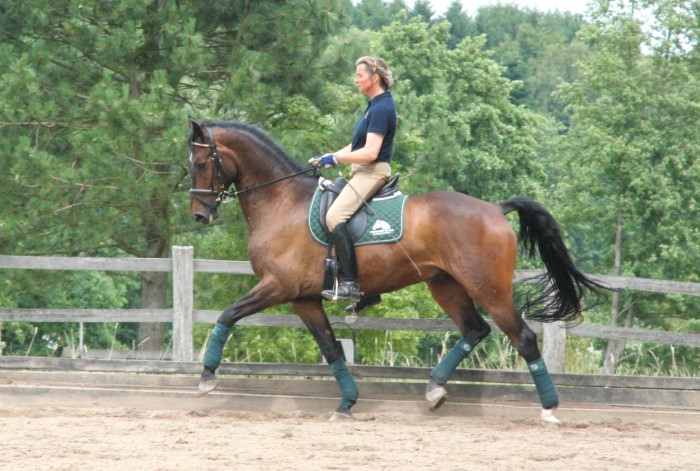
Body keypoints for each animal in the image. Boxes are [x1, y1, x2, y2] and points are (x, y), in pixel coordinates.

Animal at [189, 117, 604, 424]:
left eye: (200, 164)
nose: (199, 215)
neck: (281, 202)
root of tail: (495, 209)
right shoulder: (304, 298)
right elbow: (331, 348)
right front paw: (347, 403)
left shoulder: (278, 286)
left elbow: (227, 315)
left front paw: (207, 377)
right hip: (446, 285)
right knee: (475, 329)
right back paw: (434, 390)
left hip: (489, 288)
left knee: (522, 337)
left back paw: (549, 409)